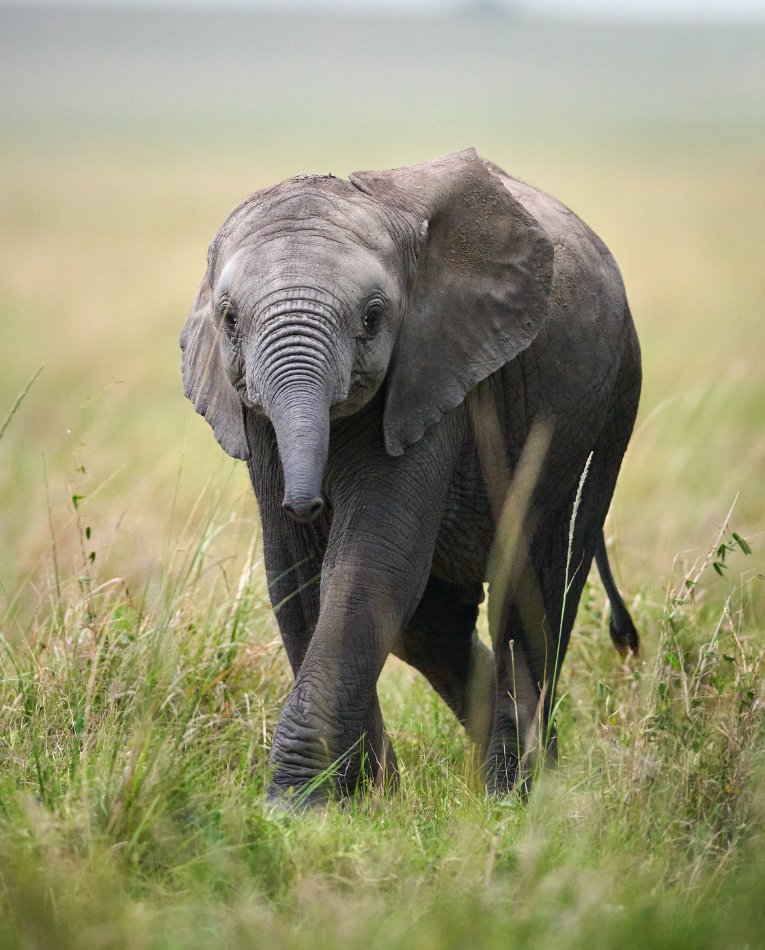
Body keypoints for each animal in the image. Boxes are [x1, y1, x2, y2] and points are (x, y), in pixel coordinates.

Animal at [182, 149, 640, 804]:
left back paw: (516, 792)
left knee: (533, 588)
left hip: (607, 405)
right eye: (229, 320)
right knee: (432, 627)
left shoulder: (435, 376)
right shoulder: (253, 416)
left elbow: (372, 560)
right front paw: (361, 795)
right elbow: (295, 575)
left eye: (374, 319)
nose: (308, 504)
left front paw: (298, 806)